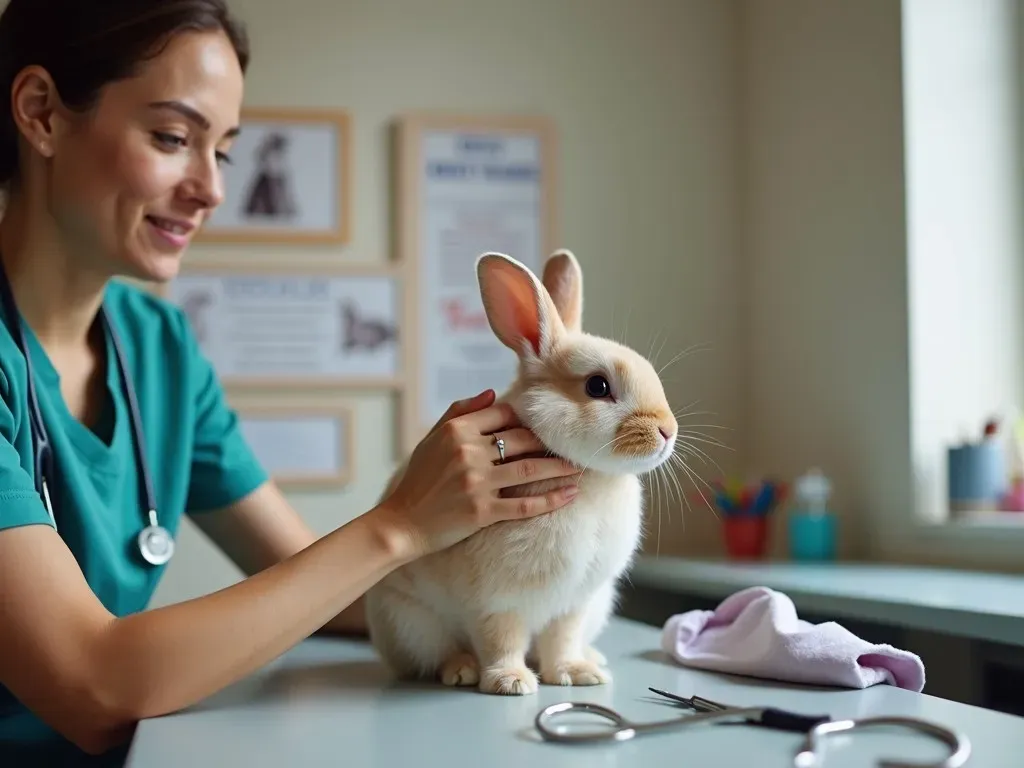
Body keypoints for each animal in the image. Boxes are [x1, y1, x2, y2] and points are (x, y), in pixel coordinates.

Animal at [364, 249, 675, 696]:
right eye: (598, 387)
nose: (668, 430)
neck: (589, 475)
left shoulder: (574, 603)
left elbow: (562, 639)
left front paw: (576, 675)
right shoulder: (497, 601)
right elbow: (502, 639)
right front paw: (511, 683)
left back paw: (591, 659)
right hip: (411, 622)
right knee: (434, 655)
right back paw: (461, 670)